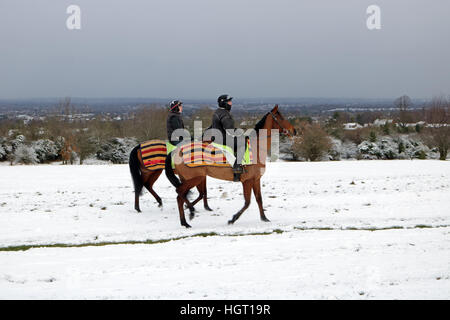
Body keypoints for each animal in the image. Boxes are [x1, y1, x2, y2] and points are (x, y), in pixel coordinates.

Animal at [164, 105, 296, 228]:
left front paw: (264, 218)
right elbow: (247, 202)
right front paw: (233, 219)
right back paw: (190, 212)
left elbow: (259, 199)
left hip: (189, 178)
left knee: (181, 196)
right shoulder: (247, 181)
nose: (294, 130)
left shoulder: (256, 180)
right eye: (281, 117)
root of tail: (178, 150)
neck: (256, 147)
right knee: (180, 192)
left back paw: (184, 221)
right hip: (195, 178)